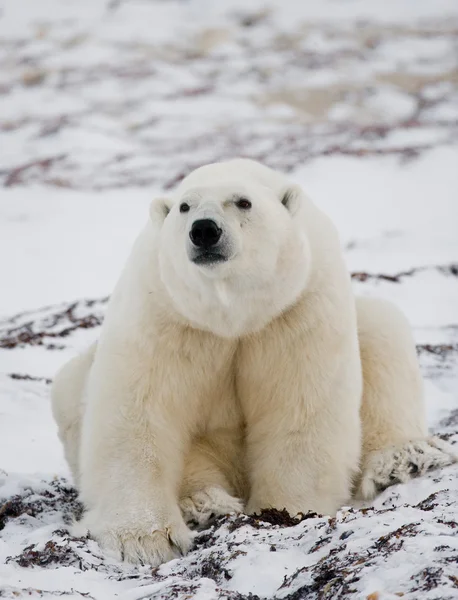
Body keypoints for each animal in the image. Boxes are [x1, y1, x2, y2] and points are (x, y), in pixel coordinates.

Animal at [51, 157, 454, 564]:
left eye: (243, 202)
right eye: (185, 207)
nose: (204, 230)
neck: (232, 316)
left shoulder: (296, 309)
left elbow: (299, 407)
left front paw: (285, 510)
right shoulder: (165, 314)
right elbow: (137, 414)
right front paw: (144, 540)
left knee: (383, 328)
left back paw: (403, 458)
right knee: (73, 386)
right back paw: (205, 502)